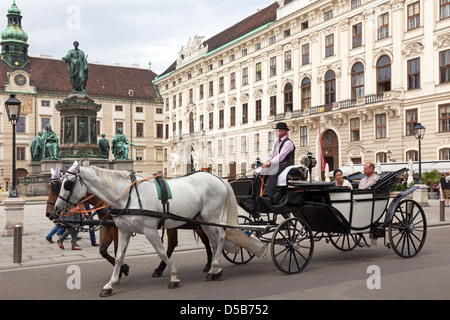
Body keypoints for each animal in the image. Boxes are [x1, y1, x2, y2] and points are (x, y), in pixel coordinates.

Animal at [52, 162, 239, 298]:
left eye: (67, 184)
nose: (55, 210)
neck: (127, 197)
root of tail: (219, 179)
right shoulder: (124, 230)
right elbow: (118, 257)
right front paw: (111, 284)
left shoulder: (150, 230)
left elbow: (161, 252)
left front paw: (174, 277)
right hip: (202, 220)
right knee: (214, 241)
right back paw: (215, 268)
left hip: (211, 217)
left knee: (220, 237)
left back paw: (213, 268)